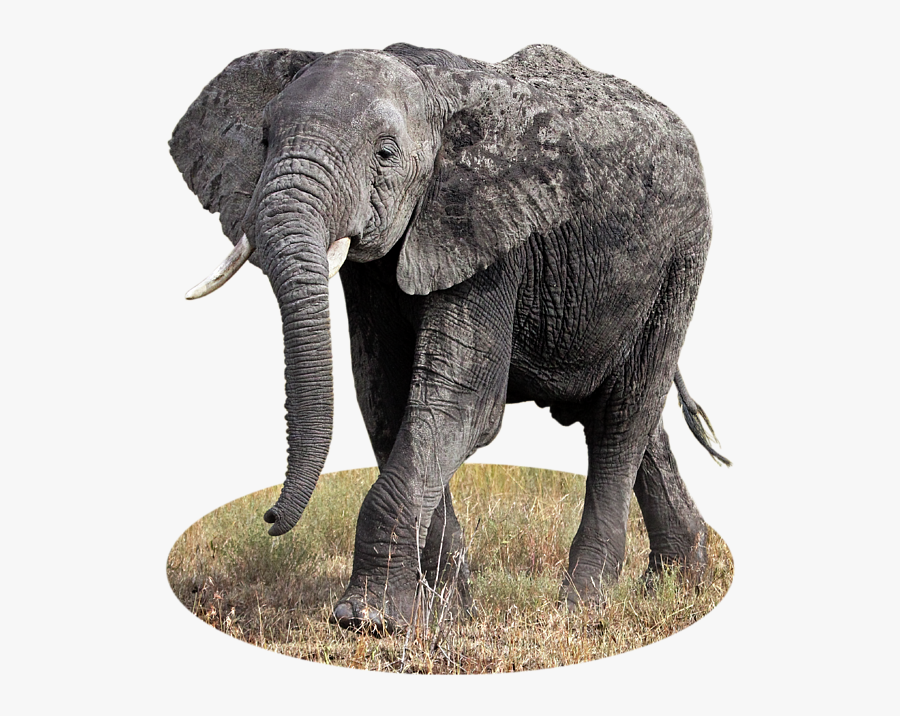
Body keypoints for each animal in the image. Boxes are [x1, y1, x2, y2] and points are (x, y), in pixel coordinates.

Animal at [170, 42, 729, 632]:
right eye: (262, 141)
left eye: (386, 154)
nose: (270, 516)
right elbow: (387, 397)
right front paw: (446, 614)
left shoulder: (491, 235)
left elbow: (459, 404)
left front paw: (367, 619)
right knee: (626, 412)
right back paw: (679, 583)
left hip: (682, 256)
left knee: (622, 417)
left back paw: (582, 608)